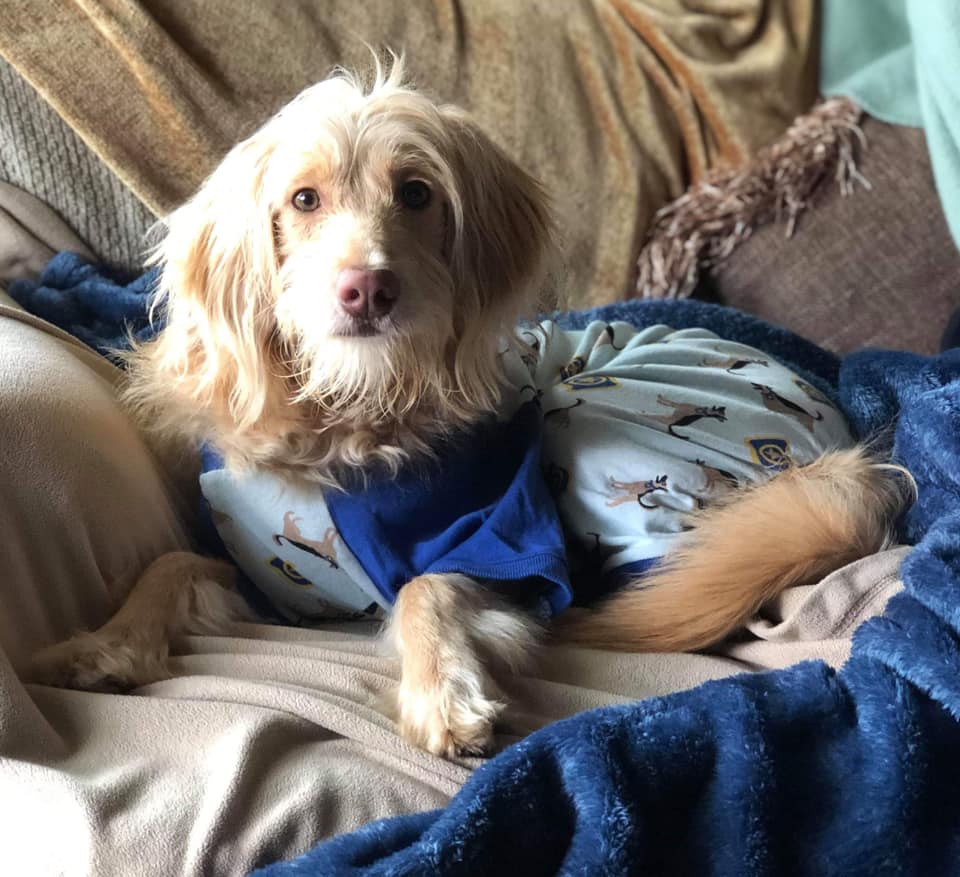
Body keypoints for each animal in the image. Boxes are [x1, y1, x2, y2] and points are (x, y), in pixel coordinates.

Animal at [28, 58, 910, 759]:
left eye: (416, 193)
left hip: (583, 422)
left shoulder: (504, 536)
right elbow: (170, 562)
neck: (356, 415)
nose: (368, 289)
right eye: (304, 199)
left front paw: (442, 692)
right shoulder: (270, 579)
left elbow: (428, 582)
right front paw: (106, 644)